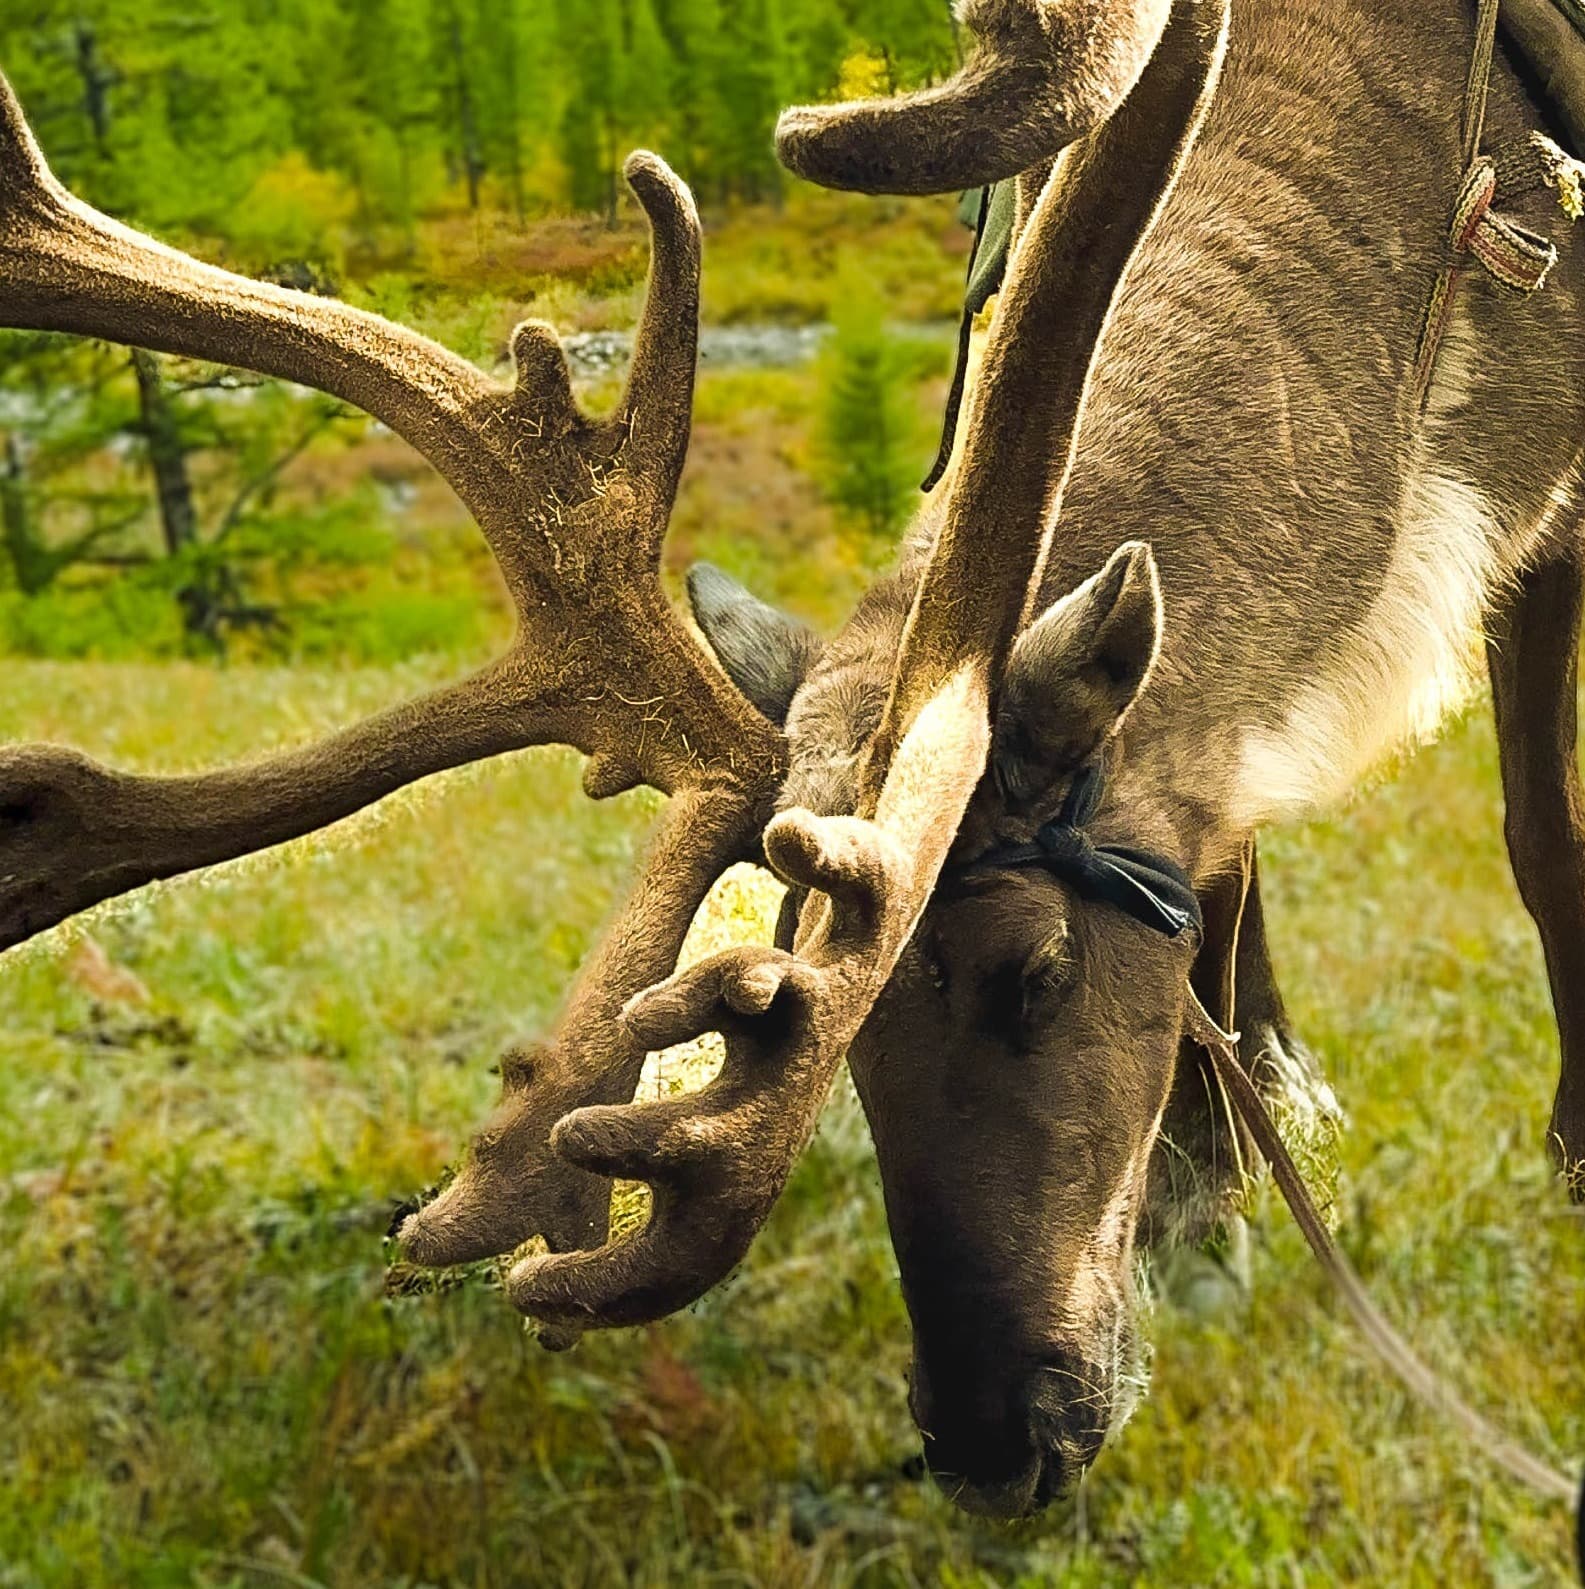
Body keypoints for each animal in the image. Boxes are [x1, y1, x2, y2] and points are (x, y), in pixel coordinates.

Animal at [1, 0, 1583, 1522]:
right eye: (846, 1046)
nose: (985, 1451)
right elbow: (1223, 862)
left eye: (1040, 972)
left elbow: (1536, 838)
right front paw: (1220, 1179)